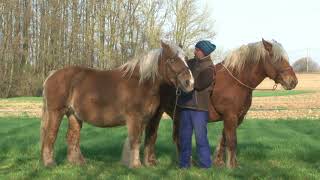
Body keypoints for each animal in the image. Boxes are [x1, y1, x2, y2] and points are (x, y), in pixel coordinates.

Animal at [41, 41, 194, 169]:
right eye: (172, 60)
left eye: (186, 59)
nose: (190, 82)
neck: (141, 83)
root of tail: (52, 74)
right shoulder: (134, 118)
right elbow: (135, 140)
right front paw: (135, 165)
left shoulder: (144, 119)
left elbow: (142, 138)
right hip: (56, 112)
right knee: (50, 135)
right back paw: (49, 163)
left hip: (74, 115)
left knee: (72, 137)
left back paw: (78, 163)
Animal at [142, 38, 298, 168]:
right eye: (278, 59)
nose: (293, 81)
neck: (236, 82)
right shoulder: (230, 116)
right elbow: (232, 140)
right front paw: (232, 166)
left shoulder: (236, 117)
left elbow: (224, 139)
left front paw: (220, 161)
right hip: (157, 112)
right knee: (153, 133)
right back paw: (152, 161)